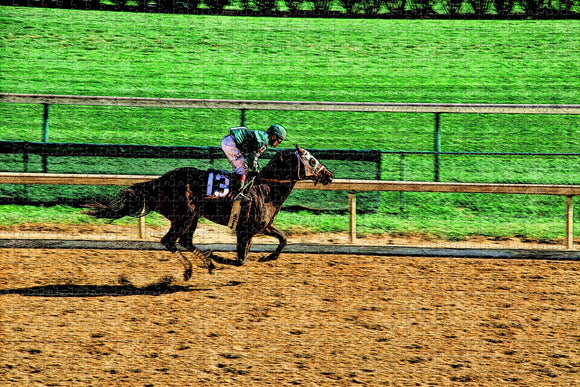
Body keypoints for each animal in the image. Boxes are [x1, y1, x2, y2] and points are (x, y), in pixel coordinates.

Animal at [85, 146, 336, 282]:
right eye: (312, 159)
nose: (330, 175)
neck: (266, 189)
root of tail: (159, 181)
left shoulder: (262, 227)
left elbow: (284, 239)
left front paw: (268, 257)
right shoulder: (245, 231)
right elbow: (240, 261)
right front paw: (216, 256)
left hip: (193, 217)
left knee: (184, 241)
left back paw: (205, 265)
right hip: (184, 216)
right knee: (169, 241)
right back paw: (193, 268)